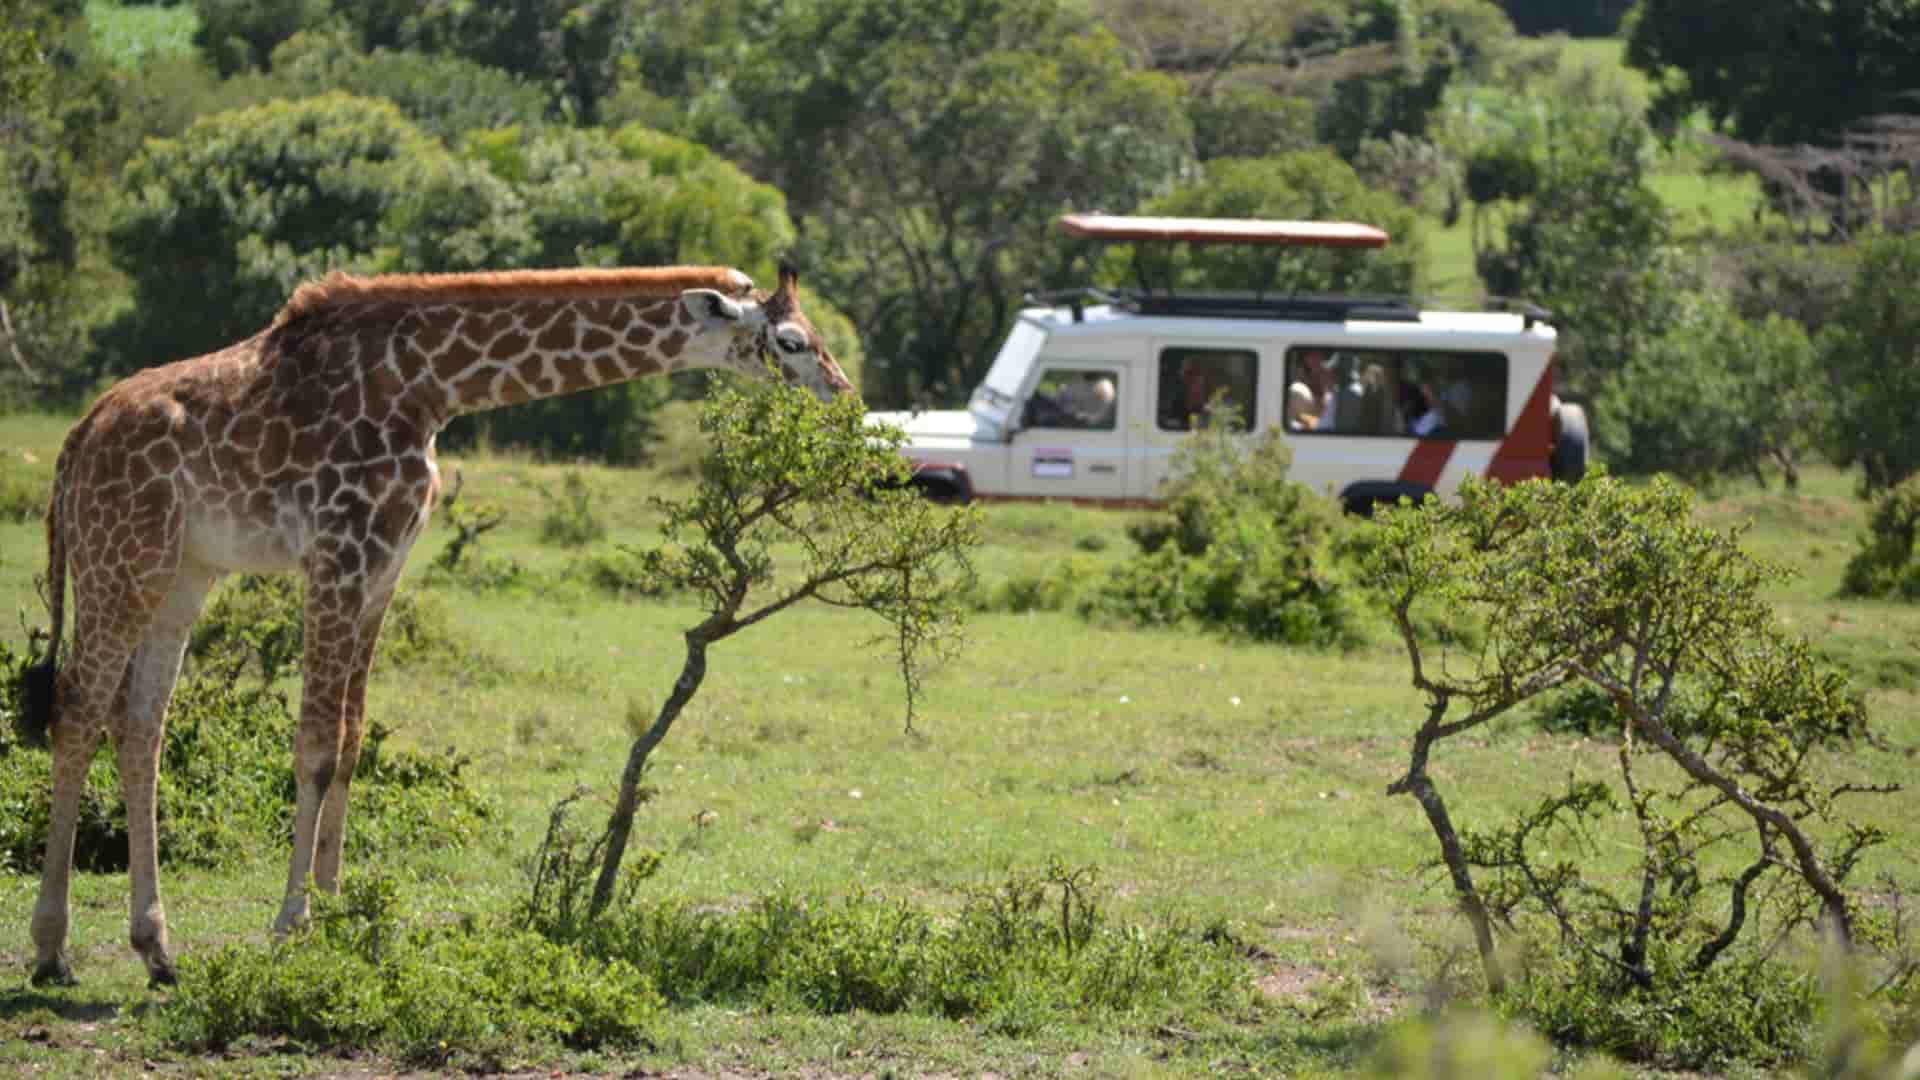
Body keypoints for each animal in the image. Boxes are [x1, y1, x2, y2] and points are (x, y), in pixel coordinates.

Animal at [22, 263, 852, 987]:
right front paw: (292, 925)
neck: (431, 386)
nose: (844, 396)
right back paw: (52, 951)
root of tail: (74, 442)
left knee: (141, 725)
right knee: (78, 710)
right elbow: (315, 749)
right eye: (791, 342)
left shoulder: (384, 569)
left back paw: (156, 950)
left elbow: (352, 743)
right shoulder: (338, 555)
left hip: (182, 574)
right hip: (121, 559)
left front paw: (339, 916)